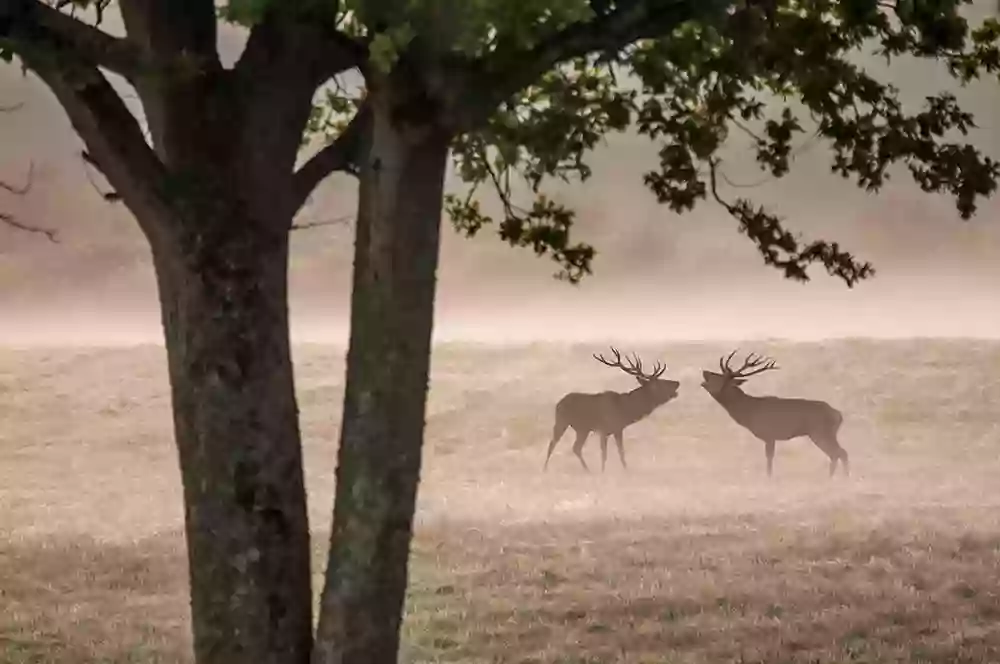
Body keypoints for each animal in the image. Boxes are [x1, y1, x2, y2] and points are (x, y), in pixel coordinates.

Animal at [544, 348, 684, 472]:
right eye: (659, 383)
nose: (677, 382)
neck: (625, 409)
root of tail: (558, 403)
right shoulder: (604, 429)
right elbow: (605, 454)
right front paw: (603, 472)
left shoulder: (617, 429)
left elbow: (620, 452)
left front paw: (625, 470)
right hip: (561, 421)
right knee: (553, 444)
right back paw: (545, 469)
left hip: (582, 429)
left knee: (576, 448)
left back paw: (587, 470)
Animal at [700, 352, 848, 478]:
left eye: (718, 377)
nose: (704, 371)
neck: (748, 410)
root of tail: (838, 415)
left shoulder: (769, 434)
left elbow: (769, 457)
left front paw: (768, 477)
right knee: (838, 453)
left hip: (819, 432)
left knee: (839, 453)